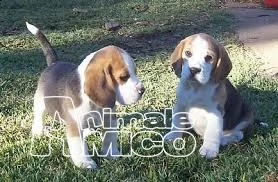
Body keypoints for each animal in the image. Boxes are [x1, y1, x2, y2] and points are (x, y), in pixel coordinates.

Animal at [26, 22, 146, 171]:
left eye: (135, 72)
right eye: (124, 77)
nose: (142, 90)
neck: (93, 103)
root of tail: (54, 63)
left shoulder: (110, 120)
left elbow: (110, 139)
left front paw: (111, 154)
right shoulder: (75, 126)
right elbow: (79, 147)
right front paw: (85, 163)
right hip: (40, 103)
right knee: (39, 117)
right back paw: (38, 132)